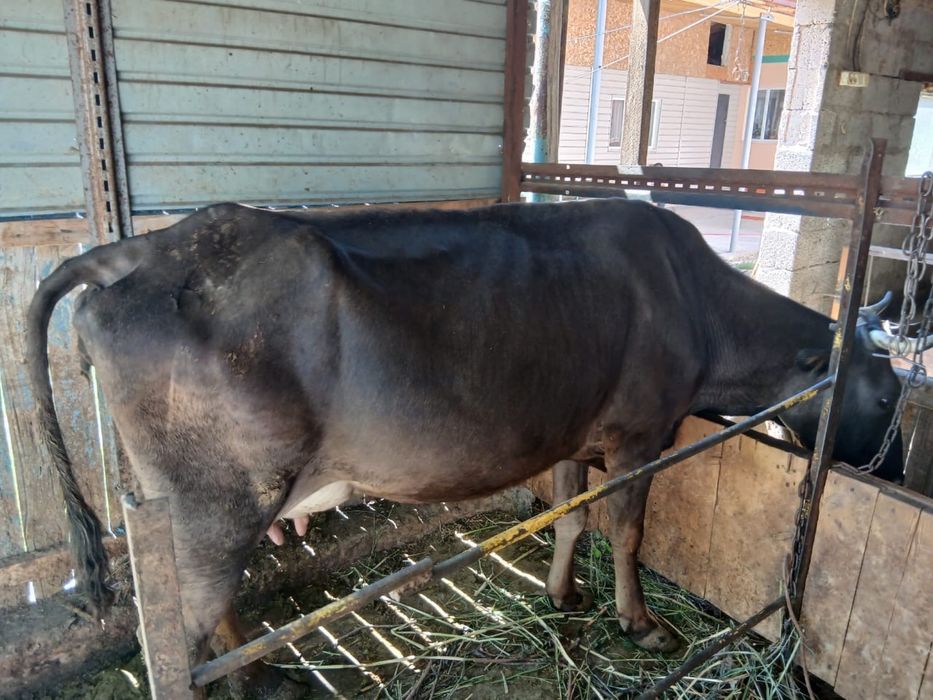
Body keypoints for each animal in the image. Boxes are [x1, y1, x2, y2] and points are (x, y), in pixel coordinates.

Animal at [27, 199, 923, 694]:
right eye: (887, 395)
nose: (897, 470)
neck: (697, 306)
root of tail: (139, 248)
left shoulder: (574, 428)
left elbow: (571, 514)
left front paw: (562, 594)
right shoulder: (642, 433)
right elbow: (627, 529)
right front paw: (641, 625)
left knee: (204, 613)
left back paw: (259, 673)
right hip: (215, 497)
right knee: (179, 625)